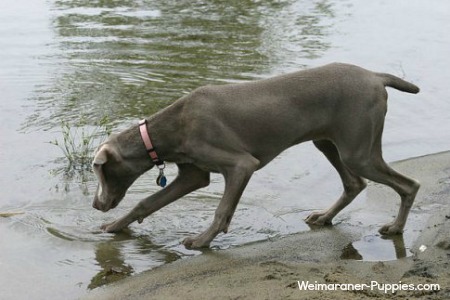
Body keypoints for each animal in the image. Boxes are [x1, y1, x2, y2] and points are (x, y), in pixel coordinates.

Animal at [93, 62, 420, 248]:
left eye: (100, 172)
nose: (96, 205)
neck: (170, 127)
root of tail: (375, 76)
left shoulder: (241, 165)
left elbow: (222, 209)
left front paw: (201, 241)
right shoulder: (194, 174)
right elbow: (148, 202)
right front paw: (115, 226)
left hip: (357, 150)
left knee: (409, 184)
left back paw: (395, 227)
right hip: (327, 142)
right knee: (354, 184)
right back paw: (324, 217)